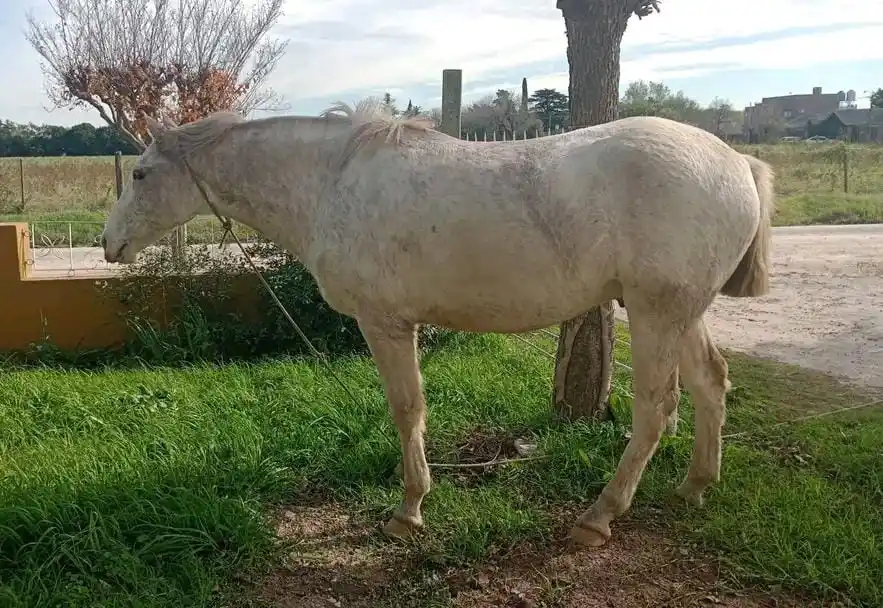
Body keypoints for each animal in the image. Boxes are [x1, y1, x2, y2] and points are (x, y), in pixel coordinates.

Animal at [101, 98, 774, 548]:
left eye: (140, 174)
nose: (109, 243)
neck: (332, 181)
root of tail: (737, 161)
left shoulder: (386, 324)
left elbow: (407, 410)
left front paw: (409, 509)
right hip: (680, 313)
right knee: (711, 384)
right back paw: (694, 486)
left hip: (657, 313)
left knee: (655, 411)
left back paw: (599, 516)